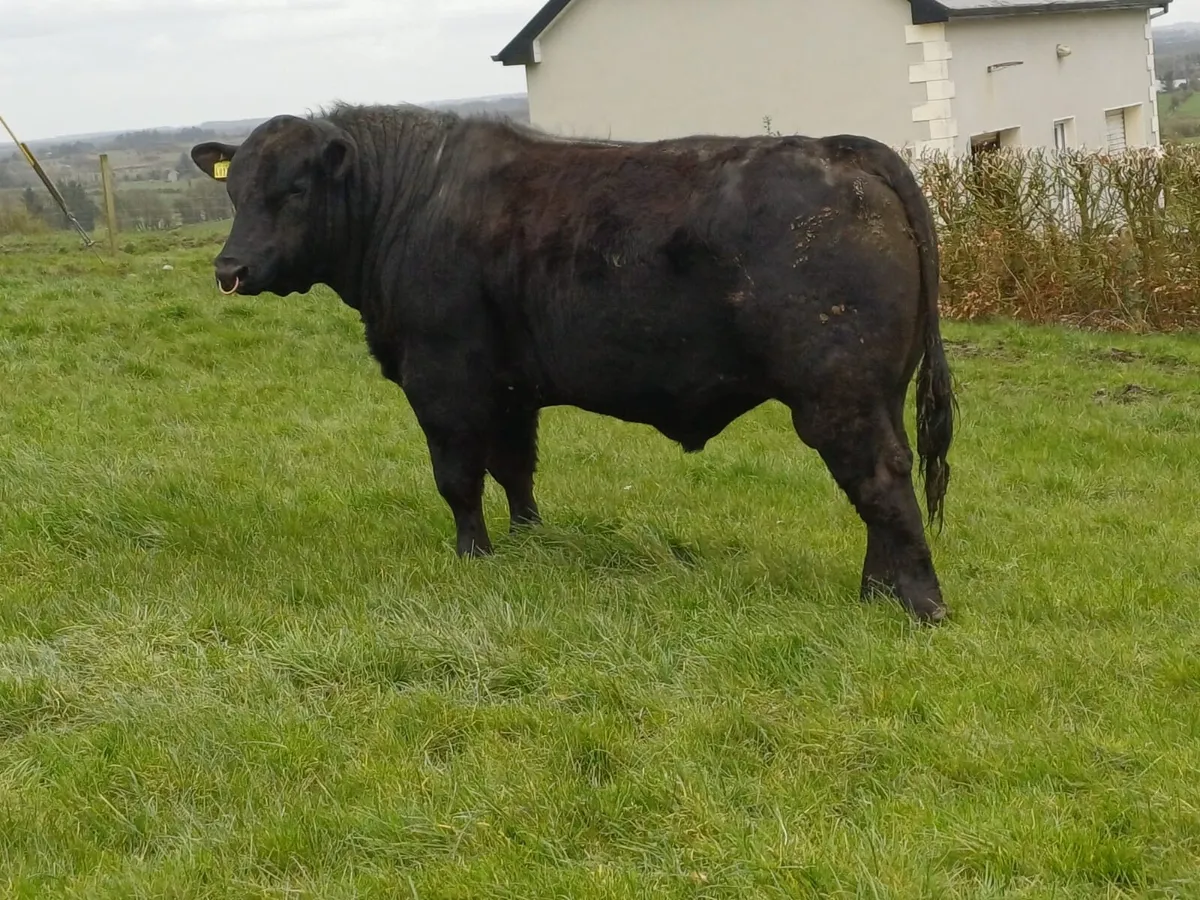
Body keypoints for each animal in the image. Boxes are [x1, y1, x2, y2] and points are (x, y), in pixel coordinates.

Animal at [190, 102, 956, 623]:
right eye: (233, 191)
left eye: (293, 190)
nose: (230, 269)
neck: (409, 199)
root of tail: (841, 150)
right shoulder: (509, 390)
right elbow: (515, 469)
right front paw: (531, 541)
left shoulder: (443, 381)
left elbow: (457, 478)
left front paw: (474, 555)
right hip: (876, 392)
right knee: (881, 485)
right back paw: (876, 593)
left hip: (836, 393)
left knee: (881, 480)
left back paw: (919, 604)